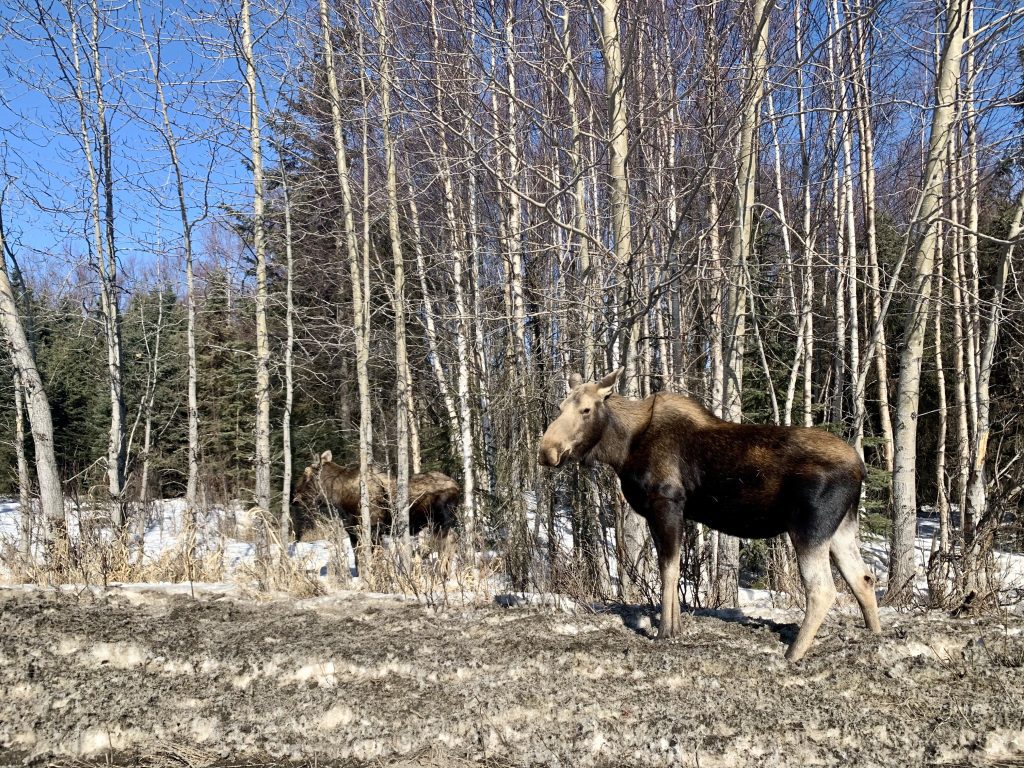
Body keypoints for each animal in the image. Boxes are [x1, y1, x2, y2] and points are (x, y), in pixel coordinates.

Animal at [292, 450, 460, 548]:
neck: (338, 498)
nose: (295, 497)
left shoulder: (373, 528)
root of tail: (458, 487)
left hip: (440, 523)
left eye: (306, 475)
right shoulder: (353, 530)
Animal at [536, 370, 880, 663]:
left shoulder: (667, 502)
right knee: (862, 577)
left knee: (823, 588)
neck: (623, 449)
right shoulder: (660, 512)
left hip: (810, 526)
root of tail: (861, 469)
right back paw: (874, 636)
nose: (547, 451)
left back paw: (793, 653)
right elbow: (671, 569)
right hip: (841, 527)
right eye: (561, 406)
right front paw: (674, 627)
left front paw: (666, 631)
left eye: (586, 410)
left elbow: (669, 570)